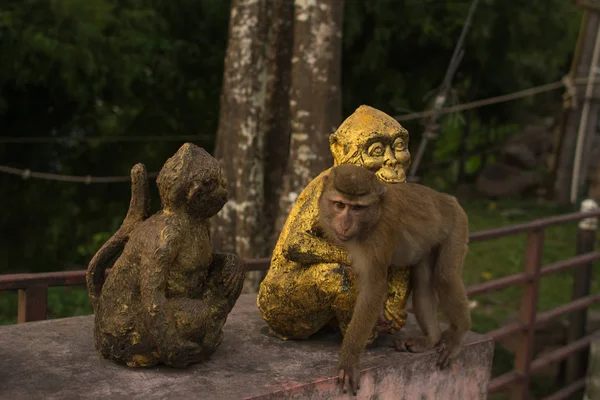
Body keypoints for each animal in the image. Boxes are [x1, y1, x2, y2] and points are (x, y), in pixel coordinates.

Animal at [316, 162, 472, 394]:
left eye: (357, 208)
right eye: (339, 205)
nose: (344, 224)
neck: (373, 216)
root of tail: (449, 199)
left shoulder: (382, 230)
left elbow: (373, 286)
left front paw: (349, 360)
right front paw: (381, 315)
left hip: (457, 225)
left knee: (445, 277)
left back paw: (458, 334)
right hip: (429, 244)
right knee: (424, 283)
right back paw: (431, 338)